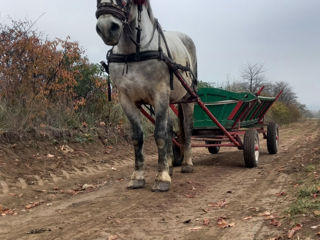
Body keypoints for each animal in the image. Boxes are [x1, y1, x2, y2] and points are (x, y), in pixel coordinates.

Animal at [94, 0, 198, 191]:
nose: (106, 27)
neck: (133, 54)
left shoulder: (160, 95)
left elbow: (159, 135)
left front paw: (162, 178)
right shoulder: (126, 100)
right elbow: (137, 137)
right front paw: (138, 177)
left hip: (188, 98)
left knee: (187, 129)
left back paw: (187, 163)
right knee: (170, 129)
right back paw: (170, 165)